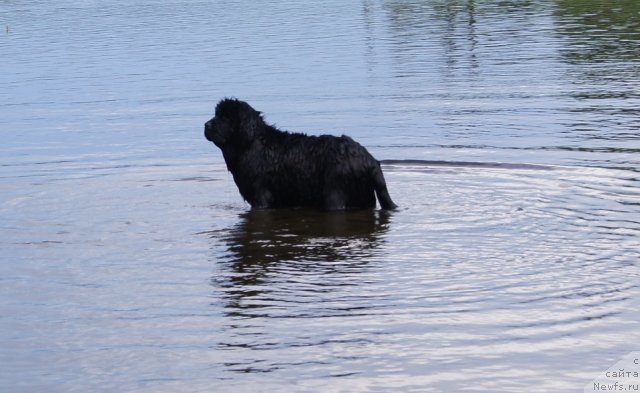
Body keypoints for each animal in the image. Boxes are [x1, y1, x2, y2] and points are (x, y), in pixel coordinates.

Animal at [205, 99, 398, 210]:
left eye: (225, 117)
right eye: (216, 114)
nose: (206, 125)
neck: (251, 144)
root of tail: (370, 160)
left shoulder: (261, 197)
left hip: (336, 192)